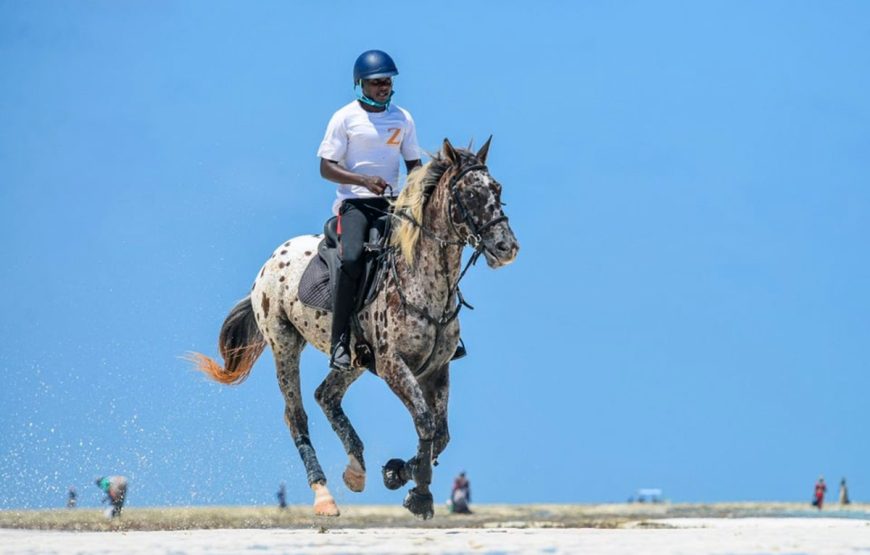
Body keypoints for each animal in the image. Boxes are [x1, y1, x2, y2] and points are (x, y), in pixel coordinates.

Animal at [190, 137, 519, 519]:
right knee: (296, 415)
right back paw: (323, 496)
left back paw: (355, 469)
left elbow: (440, 434)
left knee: (326, 395)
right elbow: (425, 422)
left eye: (497, 189)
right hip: (284, 344)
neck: (424, 282)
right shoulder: (393, 366)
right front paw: (419, 495)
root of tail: (272, 259)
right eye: (468, 194)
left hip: (353, 361)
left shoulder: (437, 370)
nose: (507, 247)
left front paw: (396, 473)